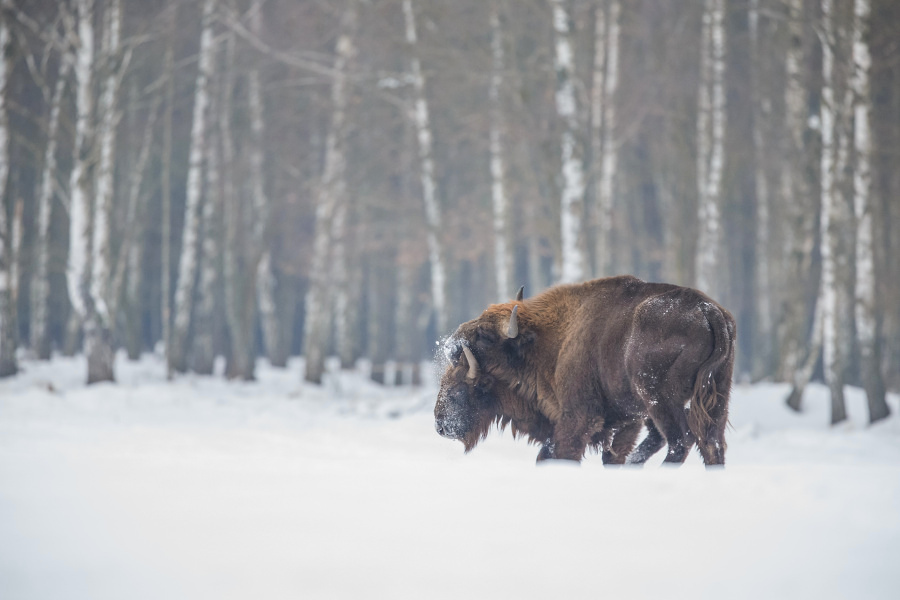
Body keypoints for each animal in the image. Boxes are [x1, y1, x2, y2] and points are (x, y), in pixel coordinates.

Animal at [436, 274, 740, 466]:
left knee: (681, 440)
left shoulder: (579, 416)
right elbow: (611, 454)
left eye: (485, 336)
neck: (551, 337)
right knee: (711, 443)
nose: (450, 344)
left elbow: (560, 451)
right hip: (717, 395)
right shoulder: (626, 421)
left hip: (660, 399)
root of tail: (709, 311)